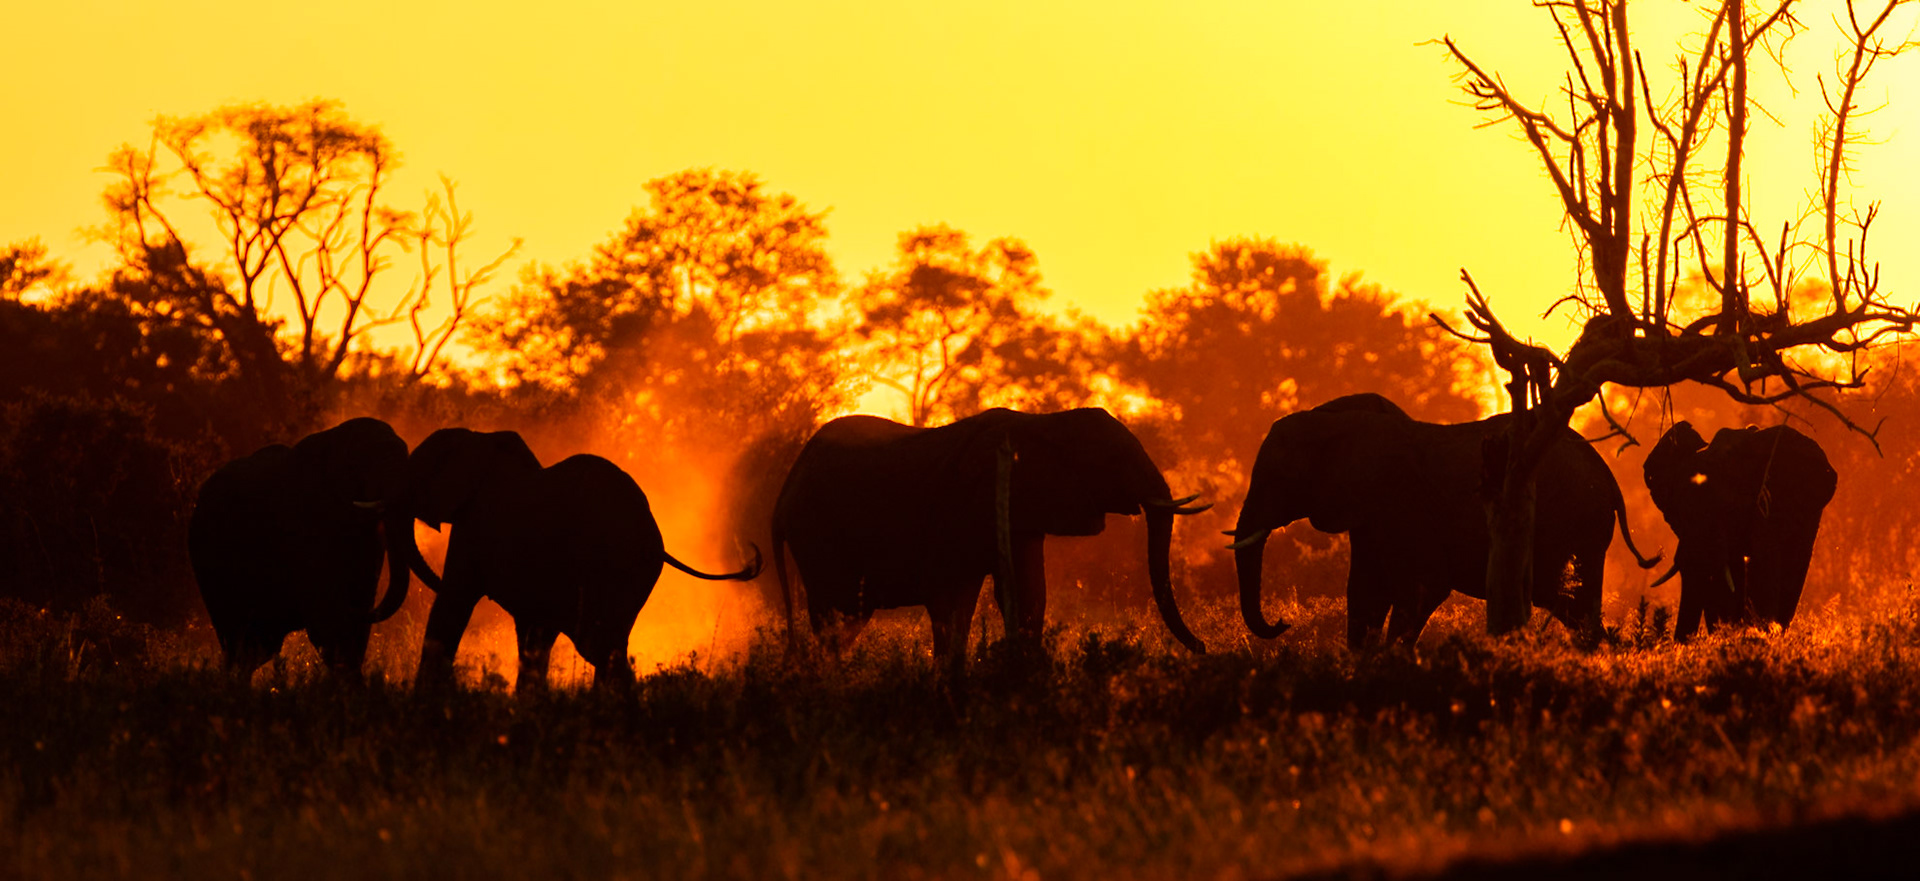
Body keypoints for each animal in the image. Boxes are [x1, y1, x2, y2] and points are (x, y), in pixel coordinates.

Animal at [389, 428, 762, 692]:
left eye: (415, 477)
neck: (480, 439)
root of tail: (652, 539)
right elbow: (533, 634)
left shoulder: (474, 524)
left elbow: (453, 601)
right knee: (610, 644)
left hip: (604, 566)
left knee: (597, 644)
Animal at [770, 407, 1212, 672]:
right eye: (1115, 459)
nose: (1204, 648)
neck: (1046, 422)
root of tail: (786, 485)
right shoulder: (967, 504)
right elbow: (951, 596)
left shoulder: (1023, 514)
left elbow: (1027, 591)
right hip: (817, 534)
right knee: (835, 615)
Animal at [1228, 394, 1659, 649]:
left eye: (1279, 477)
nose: (1283, 623)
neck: (1337, 421)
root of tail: (1609, 475)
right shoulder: (1369, 515)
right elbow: (1365, 592)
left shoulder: (1405, 503)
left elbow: (1421, 589)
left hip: (1577, 528)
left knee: (1574, 606)